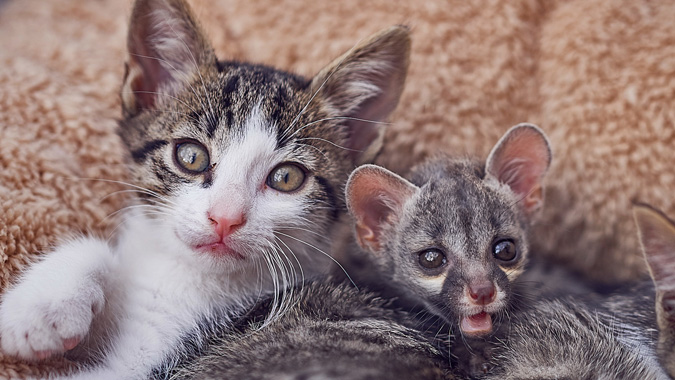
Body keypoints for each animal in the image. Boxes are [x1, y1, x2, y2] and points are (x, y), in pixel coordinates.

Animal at [0, 0, 412, 378]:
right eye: (191, 156)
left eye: (286, 178)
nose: (225, 218)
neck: (178, 272)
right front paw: (41, 307)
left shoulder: (151, 364)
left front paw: (38, 316)